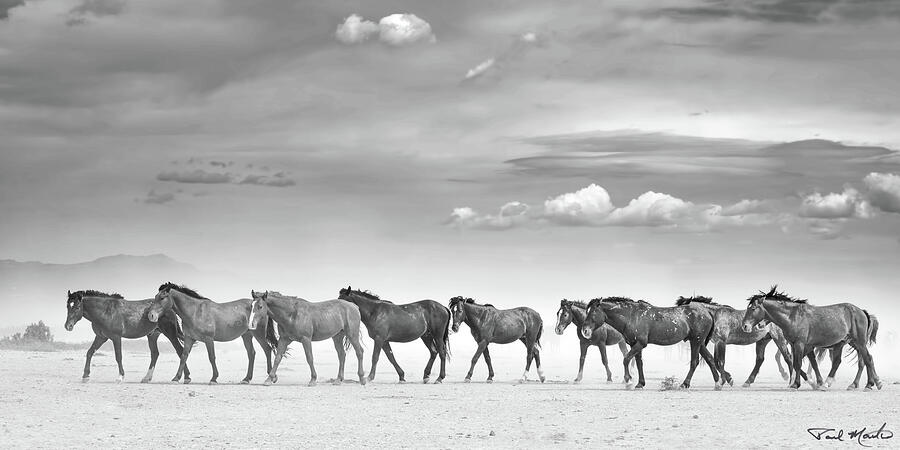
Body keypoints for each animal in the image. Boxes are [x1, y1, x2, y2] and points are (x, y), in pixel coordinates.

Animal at [147, 282, 278, 384]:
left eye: (162, 298)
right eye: (155, 297)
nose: (151, 315)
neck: (195, 312)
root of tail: (264, 306)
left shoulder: (208, 339)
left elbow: (211, 357)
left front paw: (214, 378)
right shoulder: (189, 338)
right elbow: (184, 356)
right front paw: (176, 378)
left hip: (258, 334)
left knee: (267, 349)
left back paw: (271, 377)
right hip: (246, 335)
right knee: (251, 353)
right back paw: (246, 379)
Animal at [582, 297, 720, 390]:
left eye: (592, 312)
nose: (585, 330)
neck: (632, 315)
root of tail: (707, 312)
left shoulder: (640, 344)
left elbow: (626, 359)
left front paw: (628, 381)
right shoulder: (634, 344)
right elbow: (638, 363)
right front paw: (640, 383)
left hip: (696, 342)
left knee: (694, 362)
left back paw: (685, 384)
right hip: (699, 343)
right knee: (710, 359)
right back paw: (718, 383)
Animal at [741, 286, 883, 390]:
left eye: (753, 308)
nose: (745, 326)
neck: (793, 316)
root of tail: (862, 311)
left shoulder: (800, 344)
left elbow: (797, 363)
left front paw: (795, 384)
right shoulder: (795, 344)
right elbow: (797, 362)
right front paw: (804, 382)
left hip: (859, 342)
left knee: (867, 359)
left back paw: (872, 384)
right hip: (848, 343)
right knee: (848, 361)